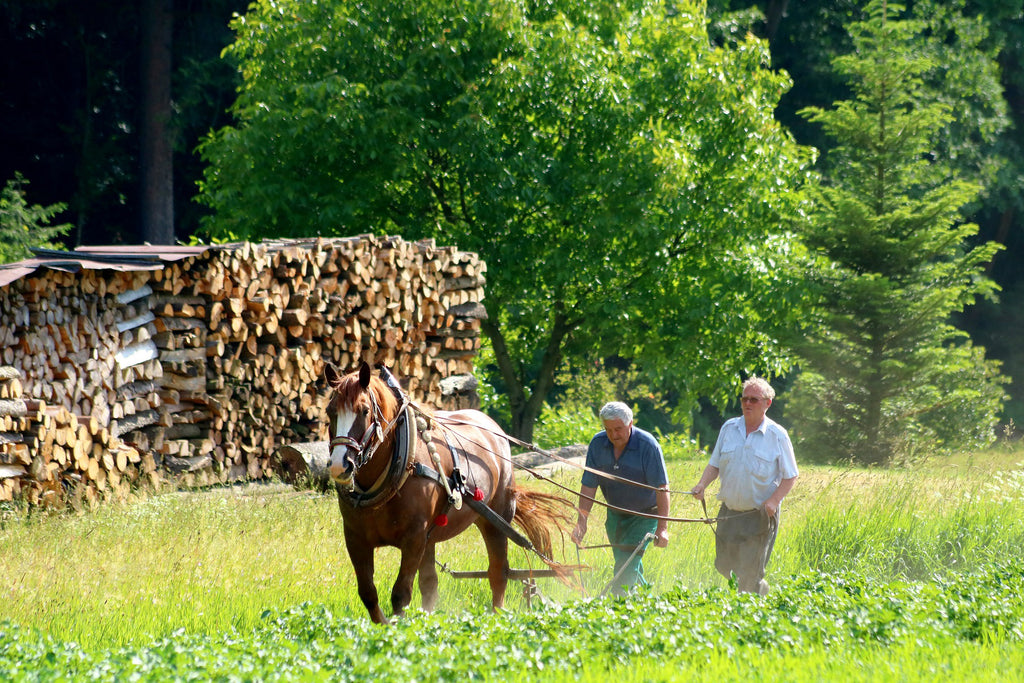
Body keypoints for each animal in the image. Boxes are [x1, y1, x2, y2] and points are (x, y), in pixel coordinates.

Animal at [323, 362, 573, 626]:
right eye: (330, 411)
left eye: (364, 411)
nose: (340, 465)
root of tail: (491, 425)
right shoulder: (356, 538)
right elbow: (369, 593)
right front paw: (384, 626)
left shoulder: (413, 538)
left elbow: (400, 594)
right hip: (432, 537)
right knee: (430, 584)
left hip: (495, 521)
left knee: (498, 573)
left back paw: (497, 617)